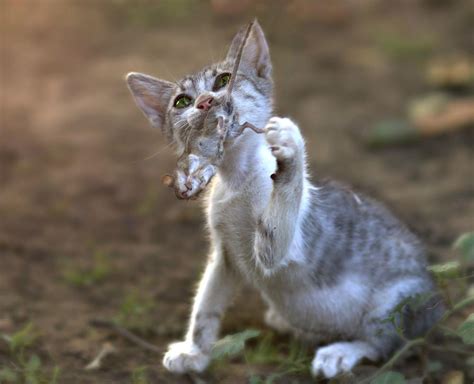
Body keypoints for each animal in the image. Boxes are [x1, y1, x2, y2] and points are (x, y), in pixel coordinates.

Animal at [125, 21, 440, 378]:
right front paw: (195, 352)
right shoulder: (225, 255)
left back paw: (340, 352)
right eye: (181, 101)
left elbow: (284, 208)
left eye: (223, 80)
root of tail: (437, 303)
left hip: (396, 301)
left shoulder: (283, 248)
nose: (205, 101)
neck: (237, 180)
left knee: (385, 344)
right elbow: (205, 305)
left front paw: (292, 149)